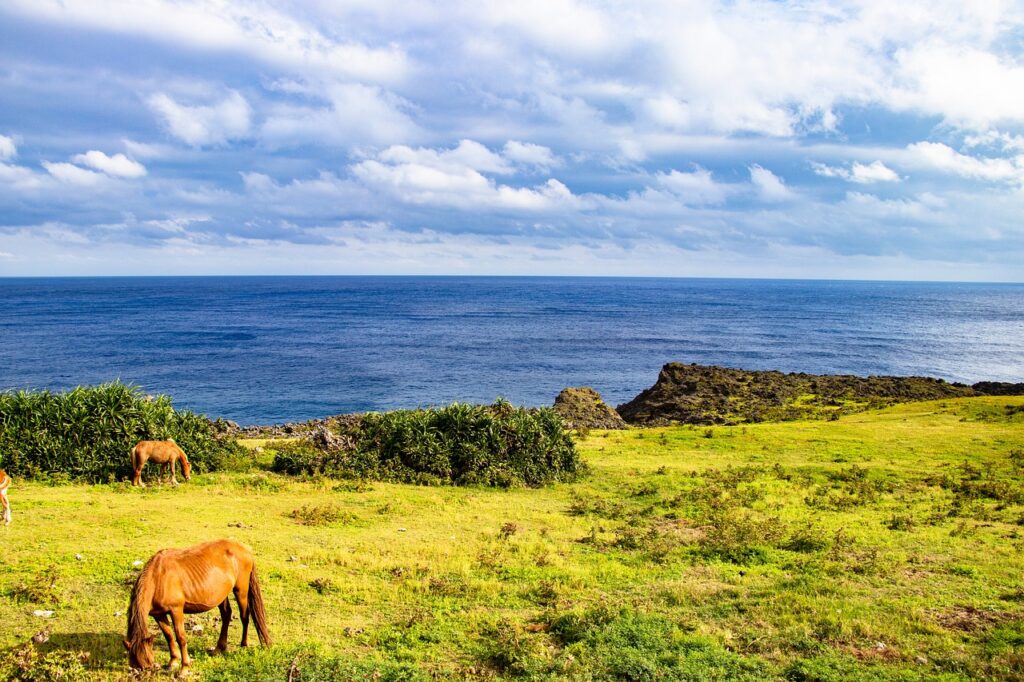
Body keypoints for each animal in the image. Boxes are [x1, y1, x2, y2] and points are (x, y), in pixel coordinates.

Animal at [124, 540, 270, 667]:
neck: (158, 577)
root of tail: (245, 549)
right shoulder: (158, 614)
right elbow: (169, 636)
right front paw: (173, 662)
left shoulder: (176, 610)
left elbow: (180, 638)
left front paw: (184, 668)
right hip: (222, 595)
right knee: (226, 615)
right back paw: (219, 648)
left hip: (241, 591)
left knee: (244, 617)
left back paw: (243, 645)